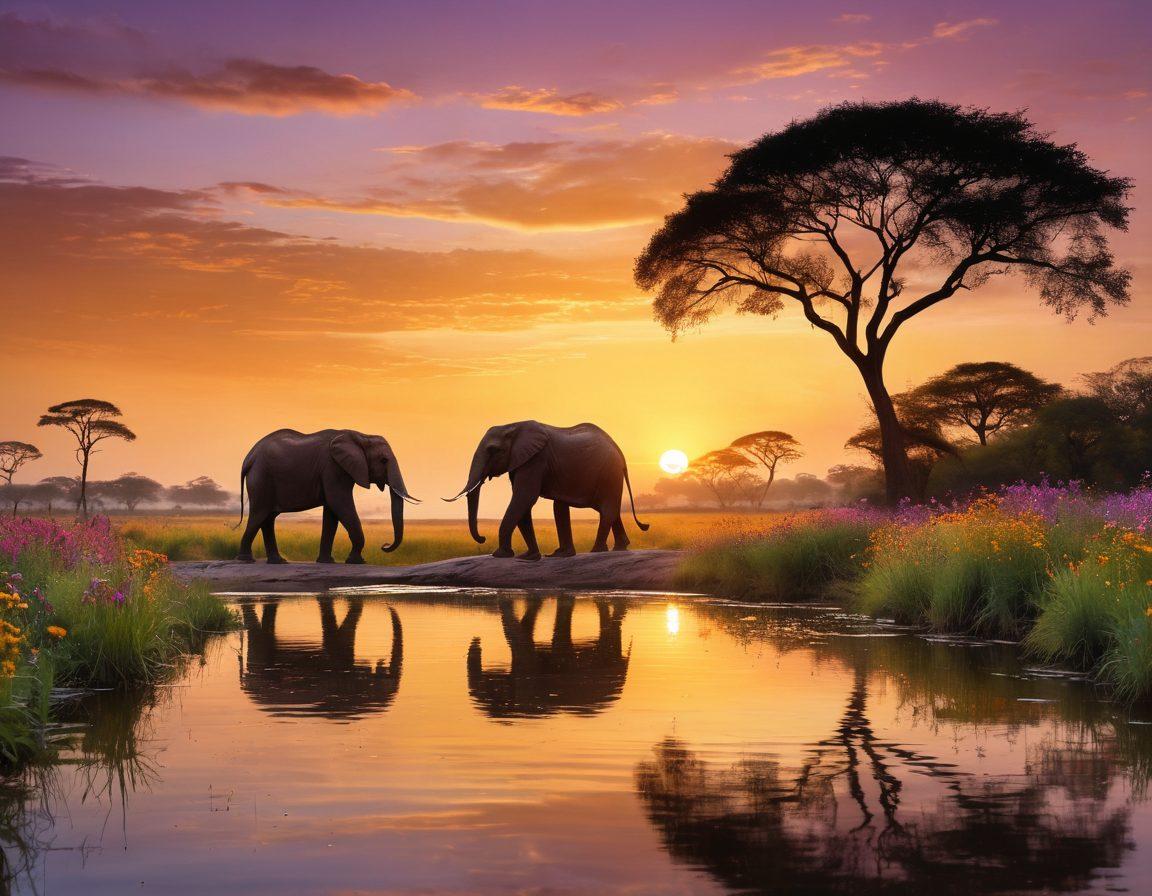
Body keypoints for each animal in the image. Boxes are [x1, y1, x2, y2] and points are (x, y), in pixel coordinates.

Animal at [235, 428, 418, 564]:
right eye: (384, 460)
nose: (384, 545)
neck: (361, 436)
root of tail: (249, 458)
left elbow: (332, 512)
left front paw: (327, 561)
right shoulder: (333, 467)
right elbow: (339, 503)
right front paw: (357, 561)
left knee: (268, 518)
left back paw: (278, 561)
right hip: (261, 479)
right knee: (259, 514)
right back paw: (246, 560)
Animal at [444, 420, 648, 560]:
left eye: (493, 450)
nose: (483, 538)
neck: (513, 425)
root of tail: (619, 450)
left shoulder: (535, 460)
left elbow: (524, 498)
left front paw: (500, 555)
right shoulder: (521, 461)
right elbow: (523, 503)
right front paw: (528, 557)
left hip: (608, 472)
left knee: (606, 510)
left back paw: (596, 551)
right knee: (570, 507)